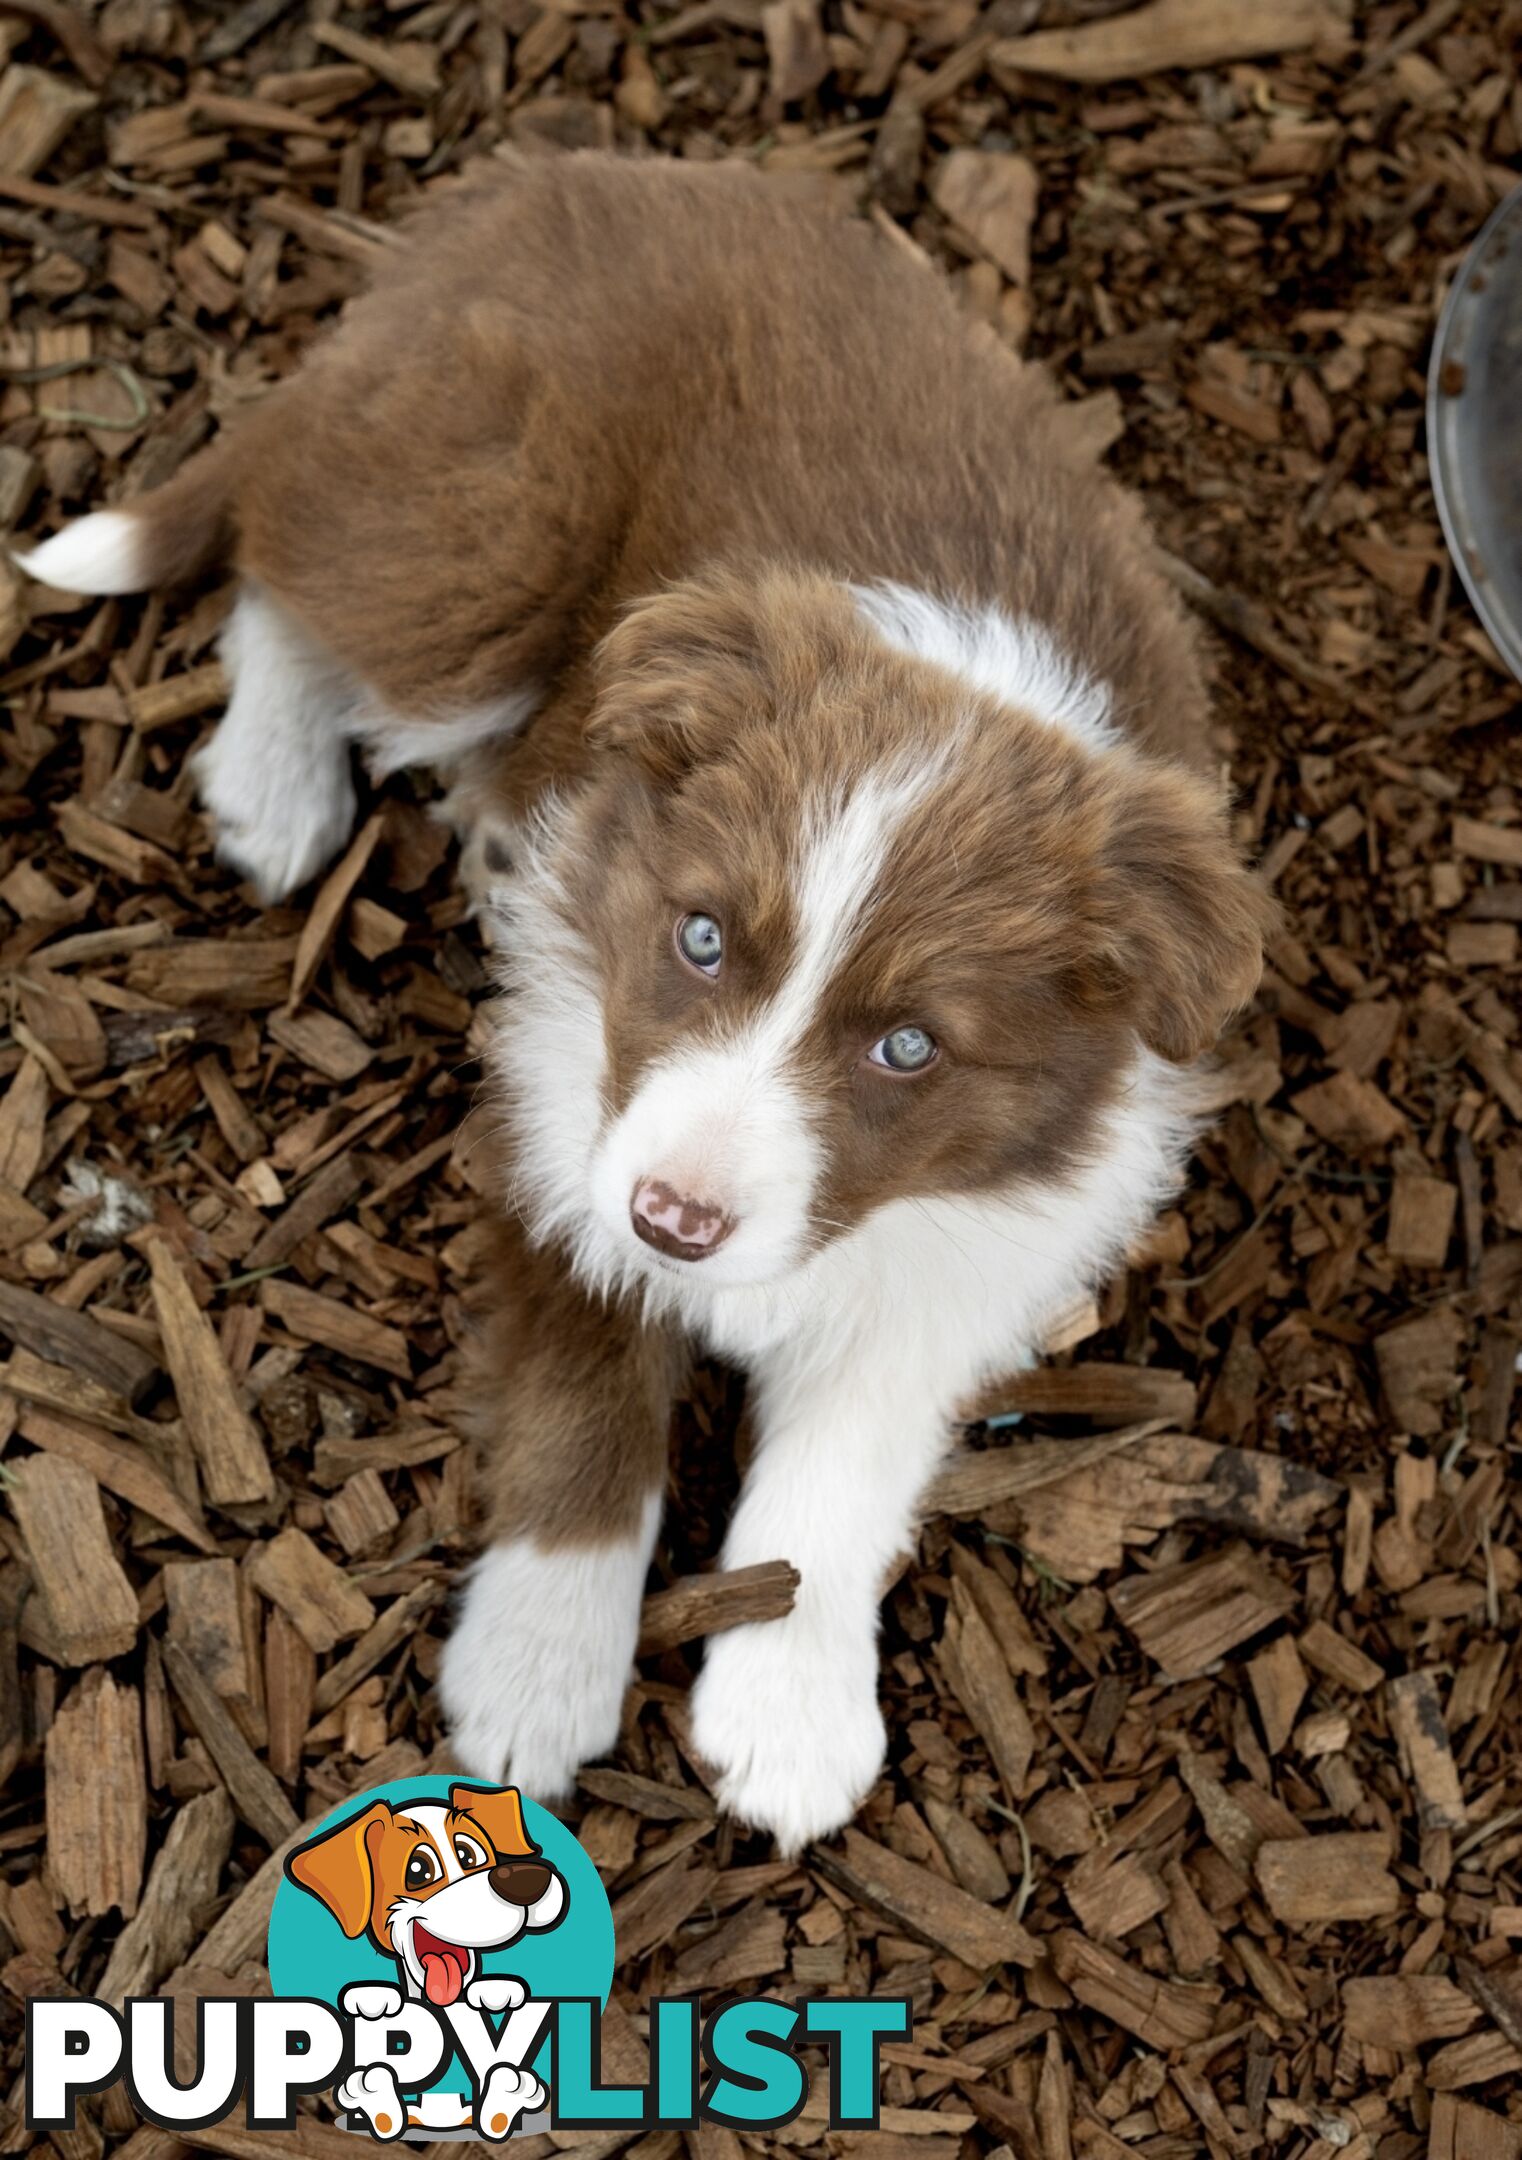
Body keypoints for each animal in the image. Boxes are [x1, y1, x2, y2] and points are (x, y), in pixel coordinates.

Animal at [29, 152, 1278, 1848]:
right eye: (697, 941)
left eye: (906, 1048)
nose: (679, 1225)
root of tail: (547, 178)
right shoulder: (570, 1136)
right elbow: (582, 1403)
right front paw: (536, 1678)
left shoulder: (955, 1254)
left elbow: (841, 1469)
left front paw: (790, 1710)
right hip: (491, 533)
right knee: (295, 574)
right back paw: (274, 788)